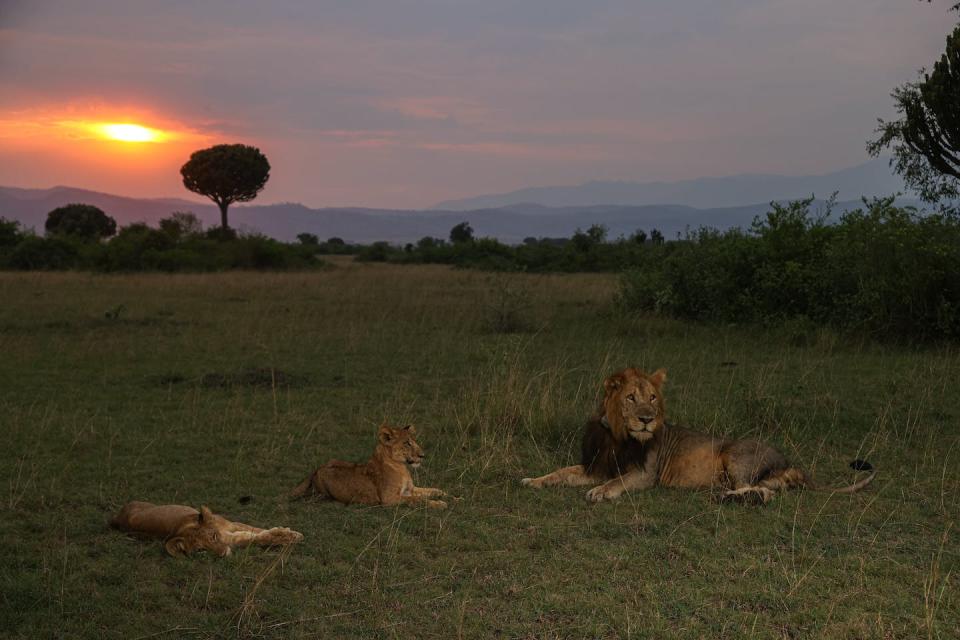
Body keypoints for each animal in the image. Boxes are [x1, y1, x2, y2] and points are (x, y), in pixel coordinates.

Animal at [111, 502, 304, 556]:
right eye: (201, 550)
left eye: (213, 537)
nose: (222, 554)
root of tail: (117, 517)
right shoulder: (234, 539)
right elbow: (255, 537)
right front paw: (287, 536)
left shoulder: (232, 524)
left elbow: (255, 529)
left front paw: (288, 533)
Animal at [520, 368, 872, 502]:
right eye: (631, 397)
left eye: (653, 398)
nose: (647, 420)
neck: (618, 435)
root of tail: (789, 461)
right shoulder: (596, 466)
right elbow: (560, 472)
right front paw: (532, 480)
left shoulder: (644, 474)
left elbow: (616, 482)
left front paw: (599, 492)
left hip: (735, 454)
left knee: (761, 492)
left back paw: (725, 496)